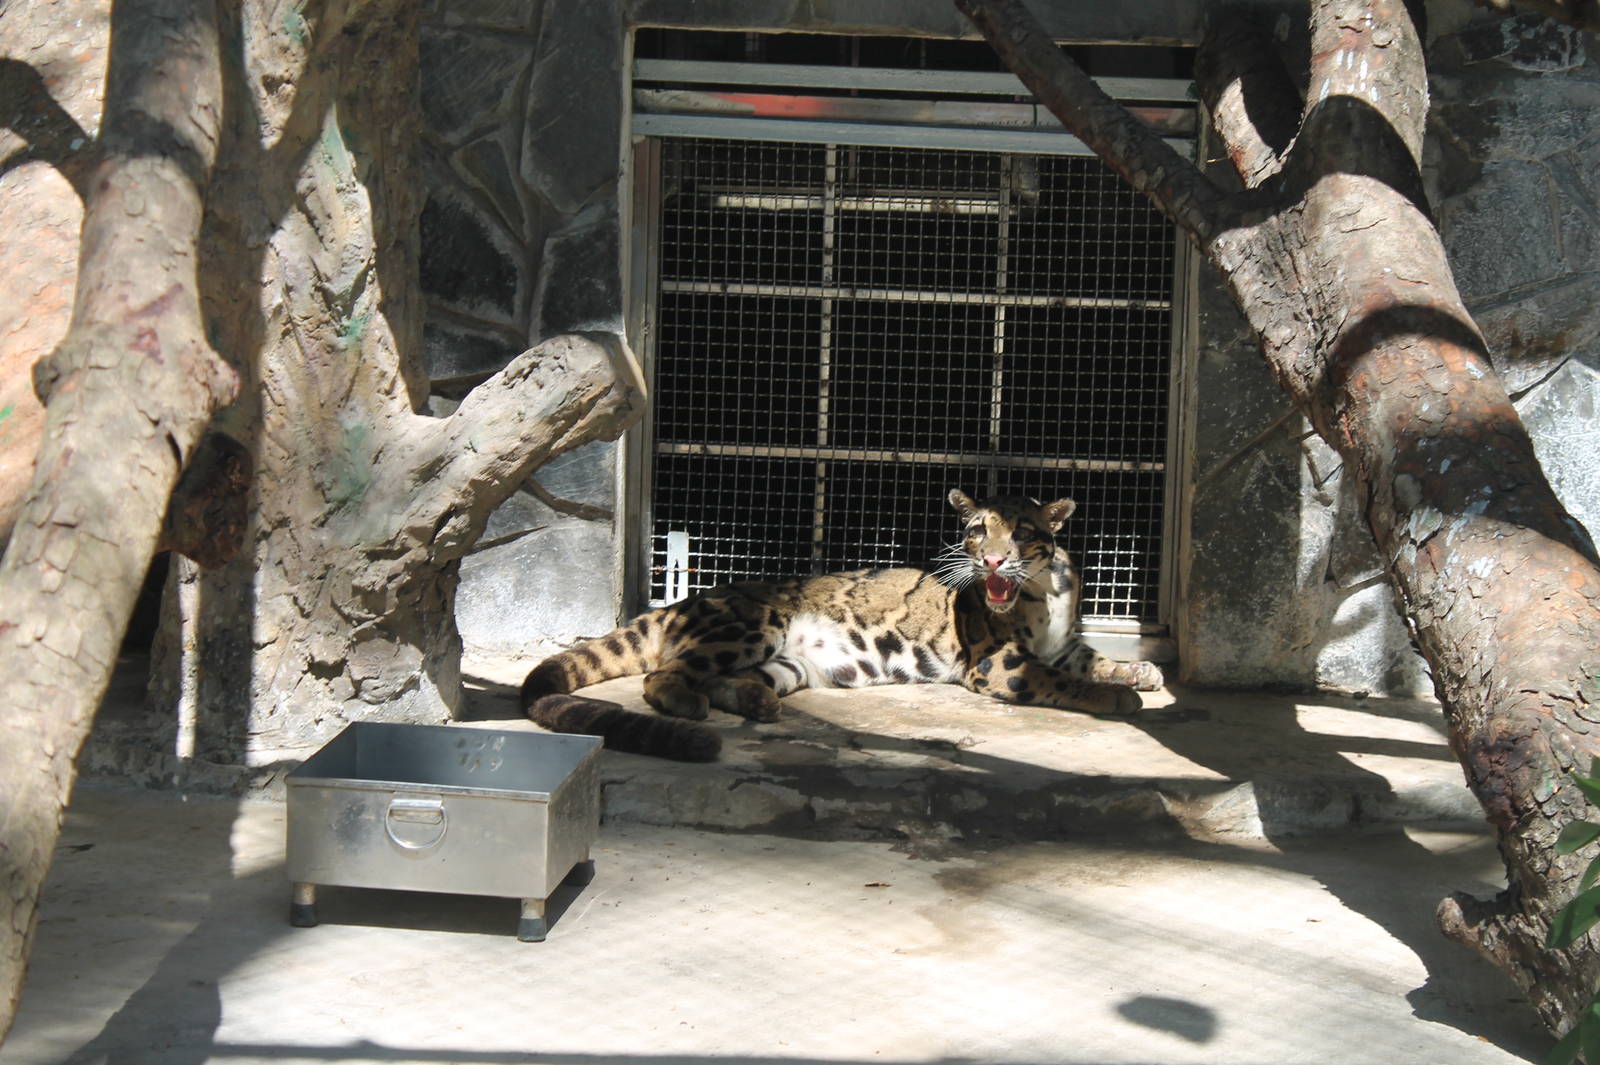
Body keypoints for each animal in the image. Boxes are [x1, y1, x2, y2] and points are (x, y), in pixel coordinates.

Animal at [520, 489, 1165, 760]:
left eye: (1022, 532)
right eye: (978, 530)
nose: (990, 562)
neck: (1043, 591)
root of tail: (677, 604)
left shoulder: (1062, 643)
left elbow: (1090, 659)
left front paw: (1139, 672)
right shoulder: (998, 662)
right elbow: (1064, 681)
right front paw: (1116, 698)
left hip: (796, 662)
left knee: (733, 680)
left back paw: (757, 703)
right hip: (755, 624)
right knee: (665, 675)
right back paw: (688, 703)